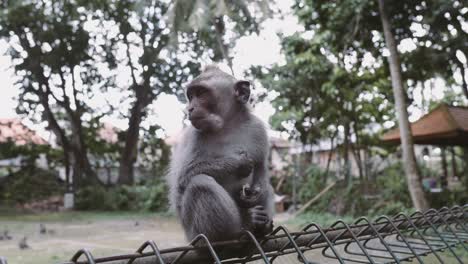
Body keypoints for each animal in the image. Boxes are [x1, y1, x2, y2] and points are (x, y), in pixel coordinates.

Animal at [166, 65, 274, 242]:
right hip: (194, 232)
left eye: (201, 93)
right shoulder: (194, 136)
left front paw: (253, 194)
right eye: (191, 95)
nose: (189, 108)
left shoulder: (257, 128)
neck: (228, 126)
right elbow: (181, 180)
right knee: (200, 183)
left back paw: (261, 226)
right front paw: (237, 163)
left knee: (267, 188)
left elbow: (260, 169)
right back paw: (237, 230)